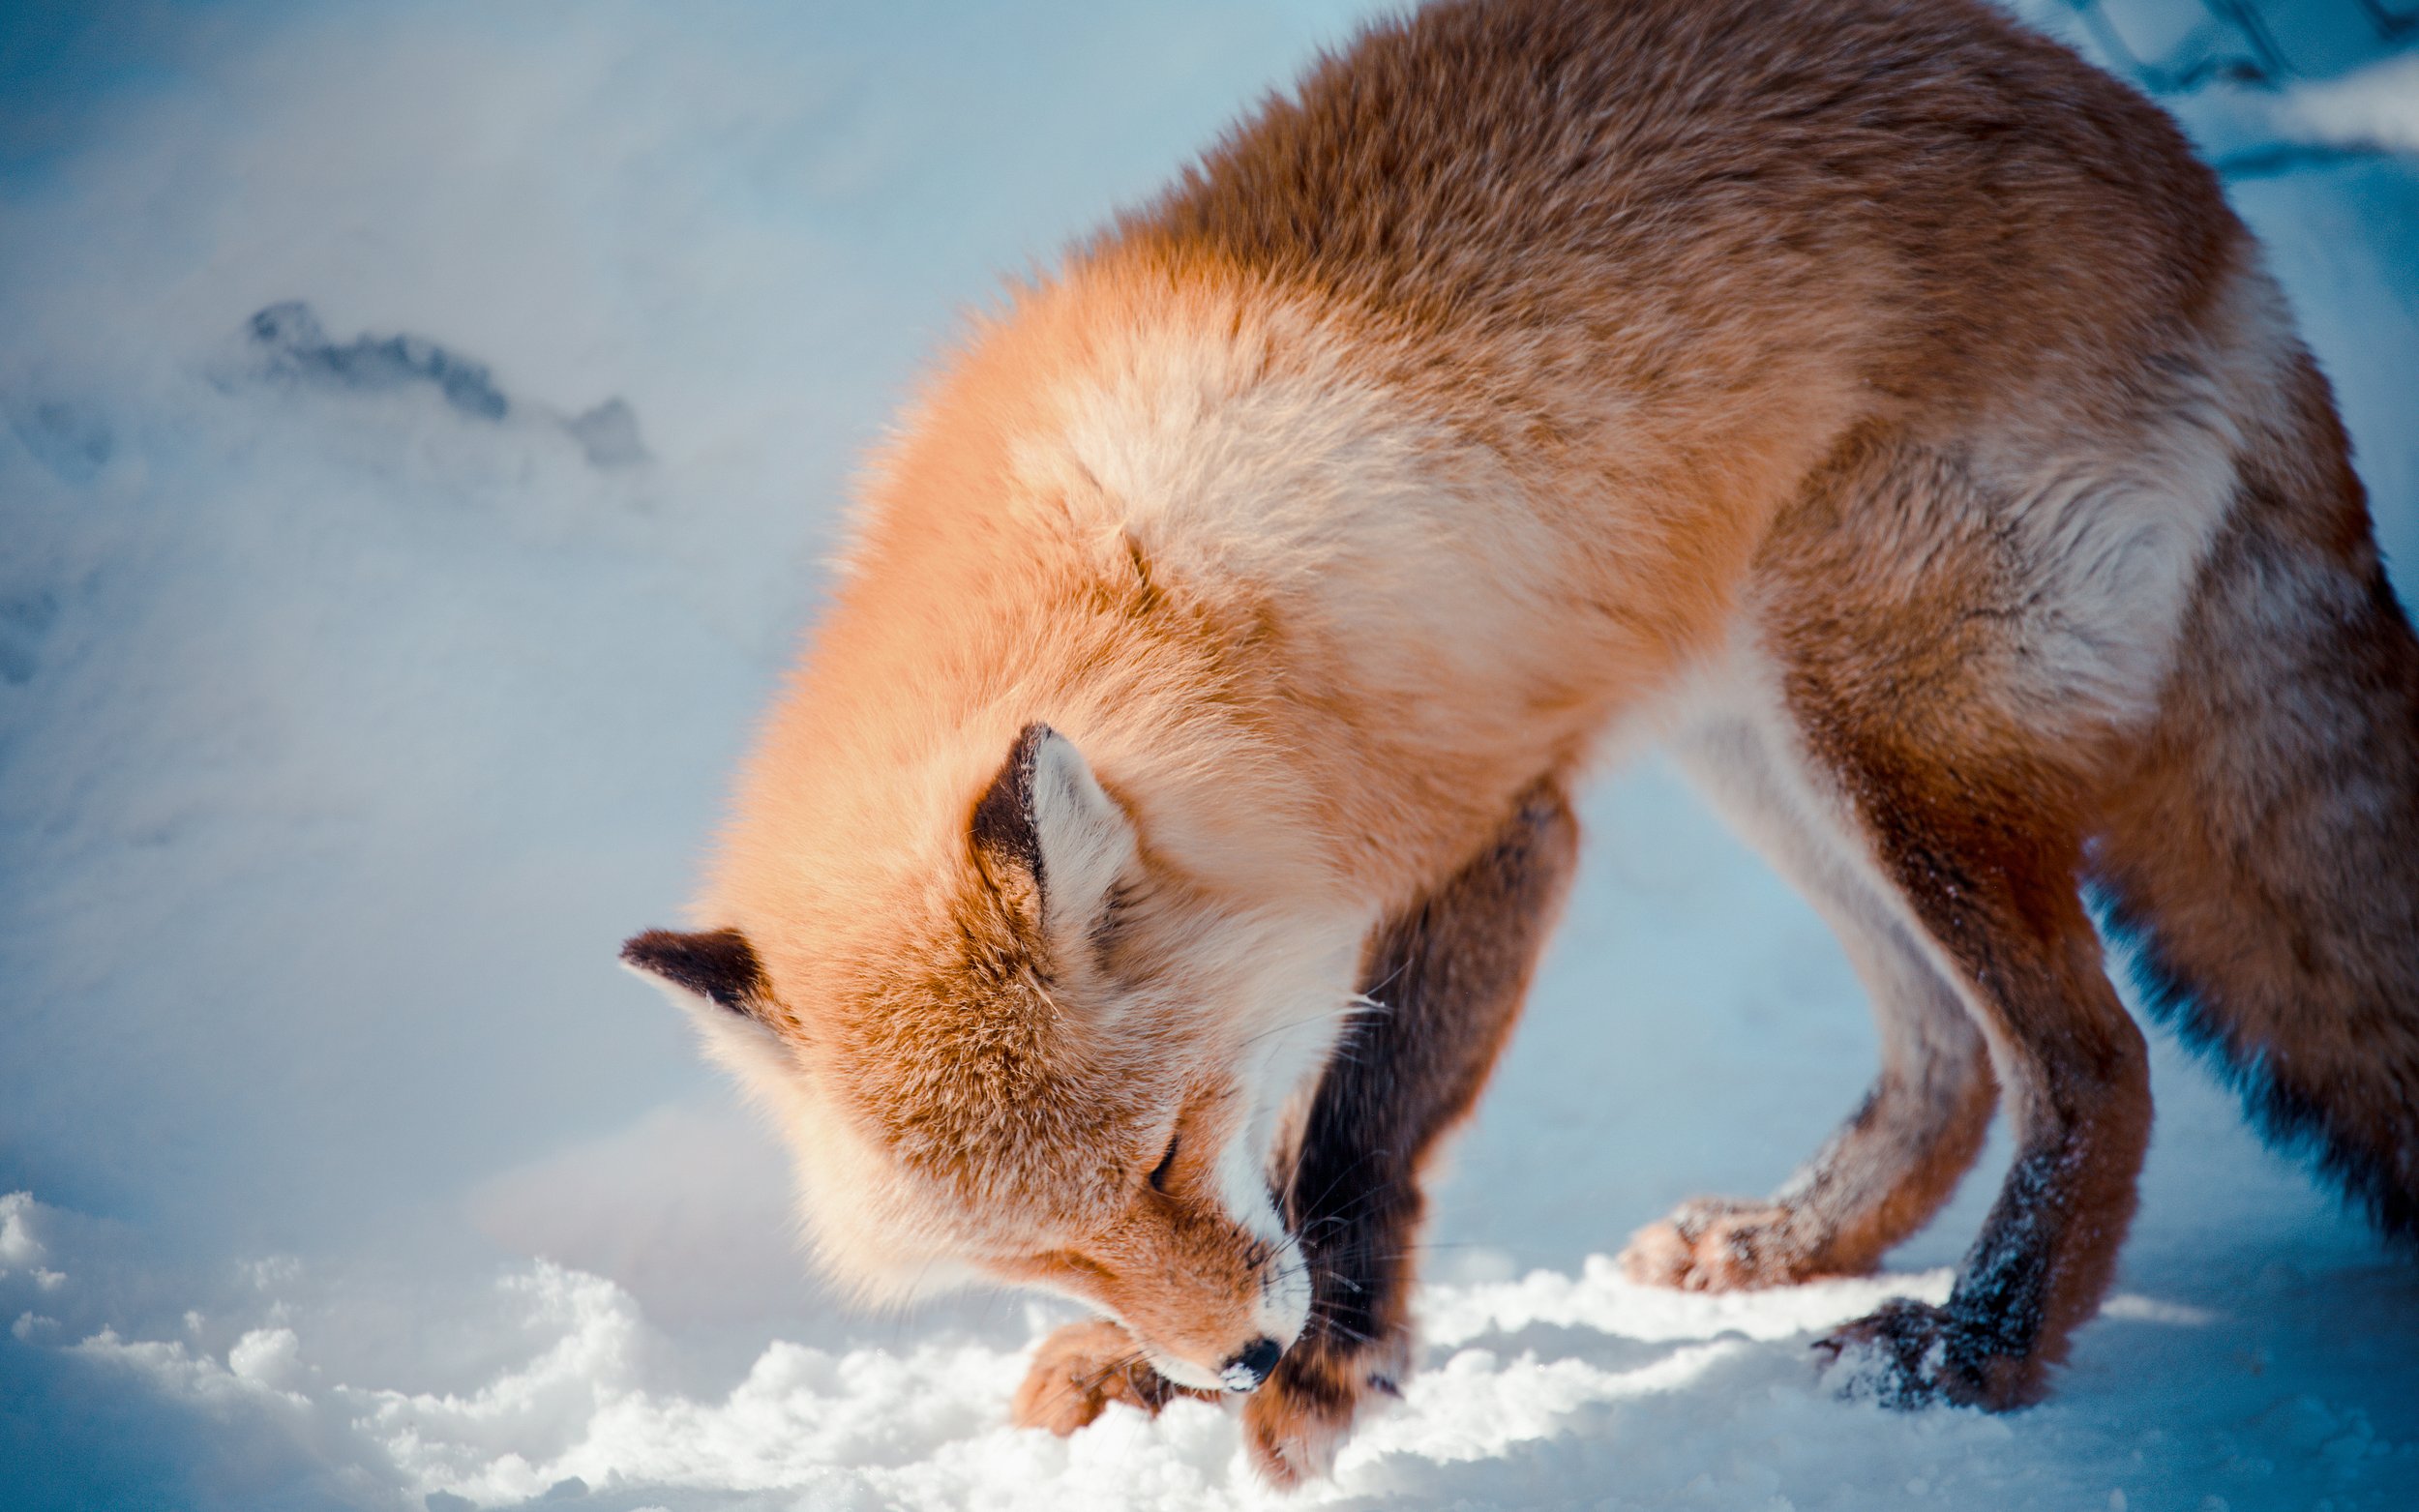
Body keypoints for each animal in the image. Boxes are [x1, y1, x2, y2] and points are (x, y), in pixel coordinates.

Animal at [621, 0, 2419, 1485]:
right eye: (1047, 1249)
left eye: (1166, 1149)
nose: (1237, 1353)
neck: (1146, 602)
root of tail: (2193, 186)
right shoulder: (1308, 898)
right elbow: (1296, 1136)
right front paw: (1164, 1370)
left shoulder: (1479, 827)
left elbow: (1355, 1134)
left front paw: (1328, 1363)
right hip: (1768, 748)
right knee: (1951, 1059)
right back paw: (1793, 1239)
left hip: (1884, 743)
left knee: (2094, 1064)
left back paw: (1970, 1349)